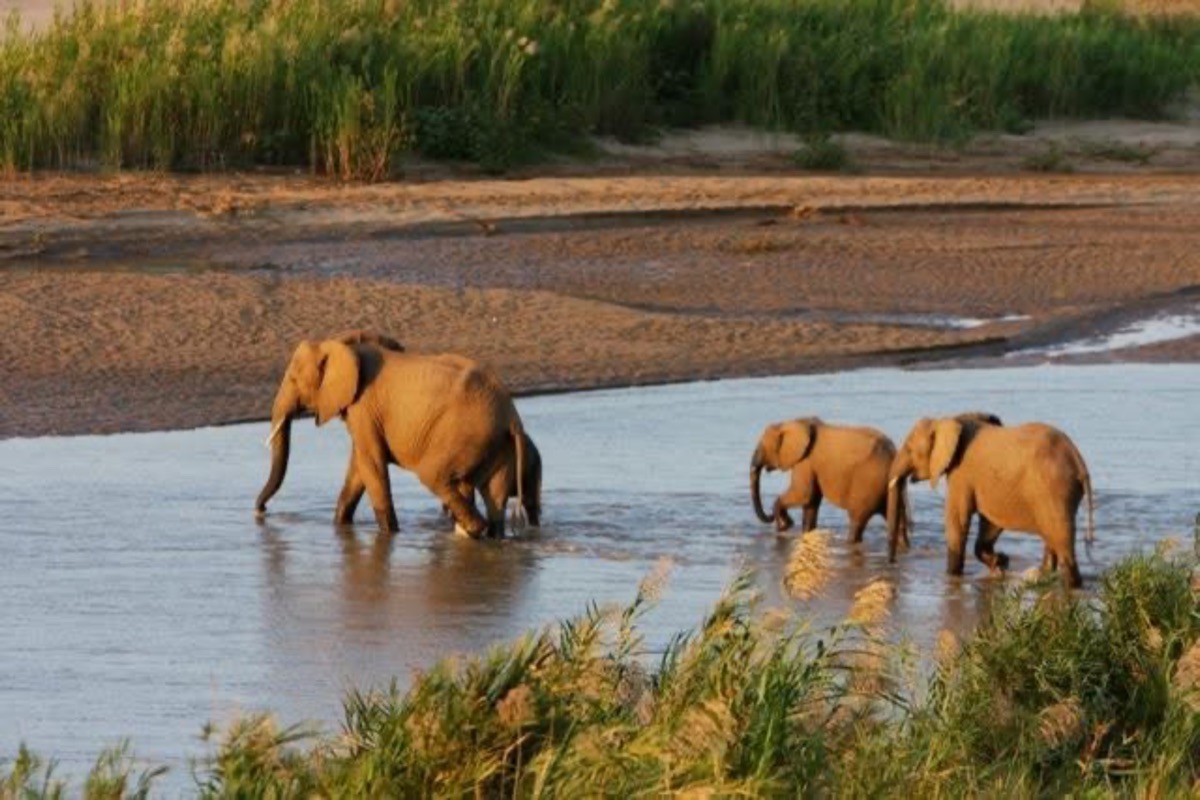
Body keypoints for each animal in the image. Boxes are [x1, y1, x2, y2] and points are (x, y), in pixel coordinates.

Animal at [255, 336, 528, 539]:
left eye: (292, 379)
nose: (261, 511)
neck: (341, 345)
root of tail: (511, 415)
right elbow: (359, 467)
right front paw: (340, 527)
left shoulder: (364, 406)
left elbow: (371, 463)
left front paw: (389, 535)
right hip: (496, 442)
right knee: (493, 496)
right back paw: (491, 535)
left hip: (466, 432)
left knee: (434, 476)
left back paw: (473, 530)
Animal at [750, 418, 903, 544]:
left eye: (760, 448)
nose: (771, 517)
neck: (792, 422)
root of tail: (892, 454)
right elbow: (811, 501)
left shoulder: (806, 461)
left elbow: (804, 494)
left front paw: (785, 524)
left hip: (869, 482)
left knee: (857, 519)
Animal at [886, 416, 1095, 587]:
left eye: (909, 449)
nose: (892, 564)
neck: (945, 420)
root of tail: (1079, 462)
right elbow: (990, 523)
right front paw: (1000, 563)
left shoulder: (961, 474)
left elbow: (958, 520)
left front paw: (953, 576)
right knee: (1051, 538)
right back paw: (1044, 576)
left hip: (1053, 490)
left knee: (1061, 541)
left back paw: (1070, 586)